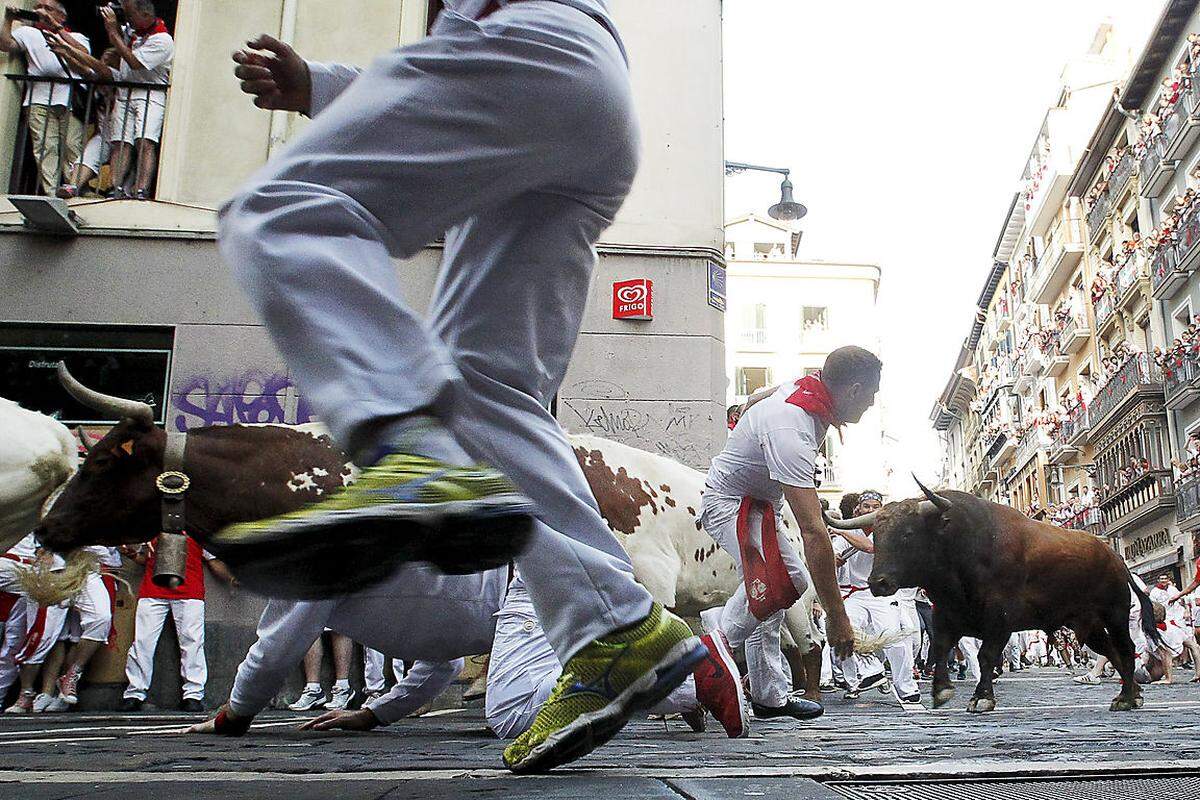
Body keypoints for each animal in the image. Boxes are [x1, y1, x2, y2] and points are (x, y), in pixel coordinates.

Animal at [830, 479, 1156, 710]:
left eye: (908, 534)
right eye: (876, 536)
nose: (878, 582)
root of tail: (1113, 555)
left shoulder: (1000, 618)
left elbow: (986, 655)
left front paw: (981, 697)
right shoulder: (947, 614)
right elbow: (941, 650)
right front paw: (941, 690)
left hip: (1114, 613)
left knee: (1125, 649)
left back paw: (1127, 697)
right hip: (1084, 624)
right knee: (1110, 651)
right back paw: (1132, 693)